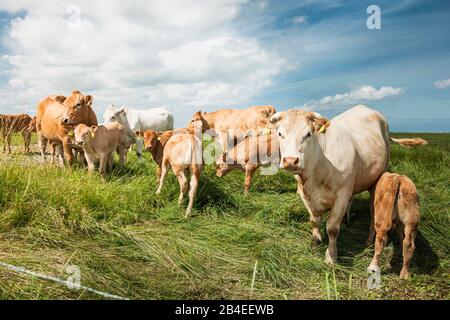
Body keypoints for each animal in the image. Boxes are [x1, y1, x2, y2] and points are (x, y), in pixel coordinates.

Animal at [268, 104, 428, 264]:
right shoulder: (304, 194)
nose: (290, 161)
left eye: (308, 134)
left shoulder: (341, 195)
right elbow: (314, 221)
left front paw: (331, 256)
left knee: (372, 212)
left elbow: (332, 228)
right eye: (280, 133)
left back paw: (368, 239)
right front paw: (315, 242)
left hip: (377, 180)